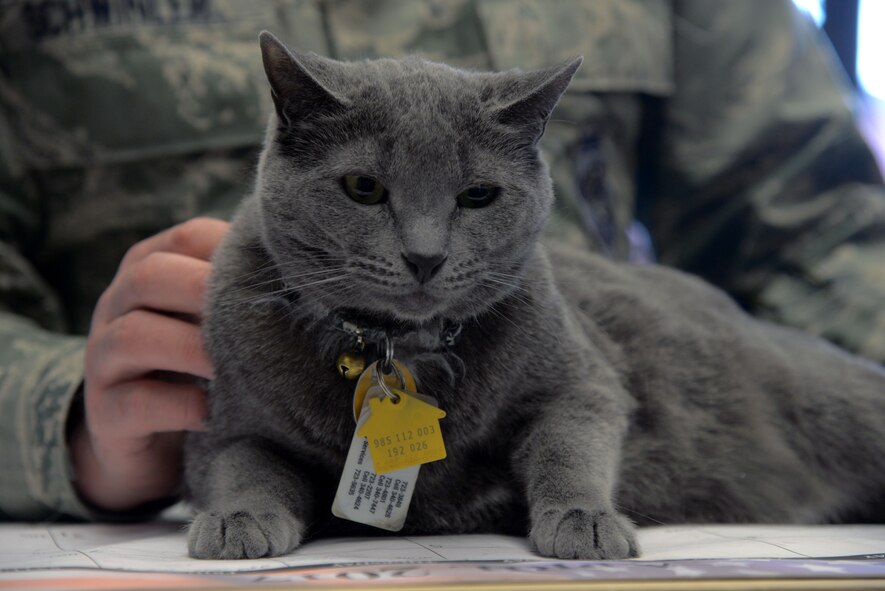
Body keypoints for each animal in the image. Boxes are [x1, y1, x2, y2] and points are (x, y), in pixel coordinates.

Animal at [181, 31, 884, 560]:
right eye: (363, 188)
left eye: (477, 195)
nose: (425, 255)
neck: (400, 351)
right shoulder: (226, 424)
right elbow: (244, 465)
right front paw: (236, 522)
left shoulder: (583, 380)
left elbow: (567, 444)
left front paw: (585, 523)